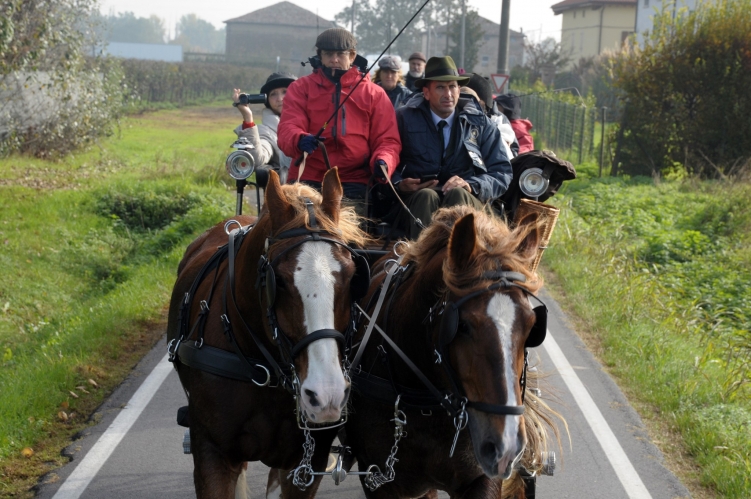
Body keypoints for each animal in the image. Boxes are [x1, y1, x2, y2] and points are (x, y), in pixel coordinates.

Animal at [340, 207, 564, 499]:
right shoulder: (379, 480)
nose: (505, 447)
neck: (426, 405)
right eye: (463, 325)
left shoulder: (480, 477)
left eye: (531, 326)